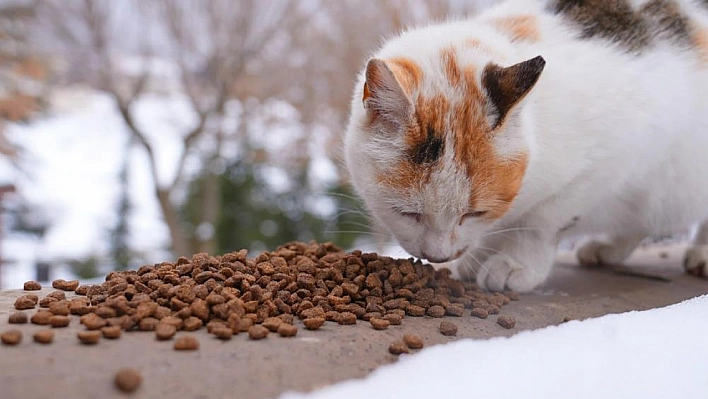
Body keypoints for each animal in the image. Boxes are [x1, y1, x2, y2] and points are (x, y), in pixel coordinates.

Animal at [346, 0, 708, 294]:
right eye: (408, 213)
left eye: (473, 213)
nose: (438, 256)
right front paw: (480, 254)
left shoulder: (613, 162)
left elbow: (542, 220)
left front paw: (515, 262)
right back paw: (607, 249)